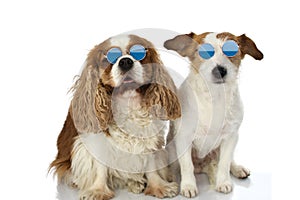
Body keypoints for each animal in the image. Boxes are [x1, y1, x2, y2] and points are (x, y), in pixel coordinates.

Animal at [49, 33, 180, 199]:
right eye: (108, 58)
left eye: (139, 53)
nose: (125, 61)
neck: (128, 102)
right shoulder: (95, 141)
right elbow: (100, 167)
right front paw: (98, 190)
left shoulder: (149, 137)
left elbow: (151, 163)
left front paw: (158, 186)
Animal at [164, 32, 262, 198]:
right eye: (203, 51)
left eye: (232, 50)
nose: (220, 70)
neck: (214, 98)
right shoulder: (184, 138)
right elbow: (186, 165)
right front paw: (188, 185)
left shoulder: (230, 137)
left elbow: (224, 163)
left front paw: (223, 182)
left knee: (229, 160)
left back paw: (238, 169)